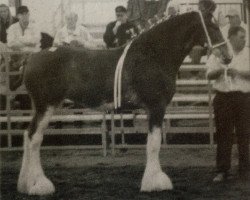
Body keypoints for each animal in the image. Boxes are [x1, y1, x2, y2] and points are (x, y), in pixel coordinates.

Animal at [18, 11, 232, 195]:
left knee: (27, 136)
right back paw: (40, 185)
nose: (228, 56)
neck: (153, 54)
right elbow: (154, 144)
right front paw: (155, 183)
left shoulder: (152, 110)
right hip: (46, 106)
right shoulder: (156, 107)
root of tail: (32, 57)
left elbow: (152, 142)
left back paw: (25, 184)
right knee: (35, 138)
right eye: (213, 25)